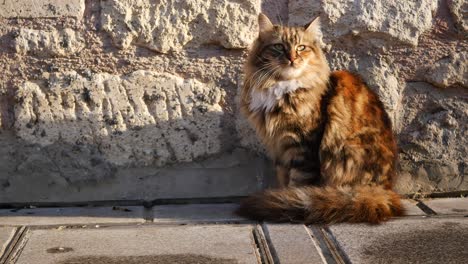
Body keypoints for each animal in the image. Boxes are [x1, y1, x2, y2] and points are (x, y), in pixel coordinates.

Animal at [236, 13, 404, 224]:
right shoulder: (279, 147)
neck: (281, 87)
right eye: (279, 47)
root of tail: (386, 191)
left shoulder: (303, 145)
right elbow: (283, 178)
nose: (292, 58)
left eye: (301, 47)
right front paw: (280, 197)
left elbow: (298, 182)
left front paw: (287, 199)